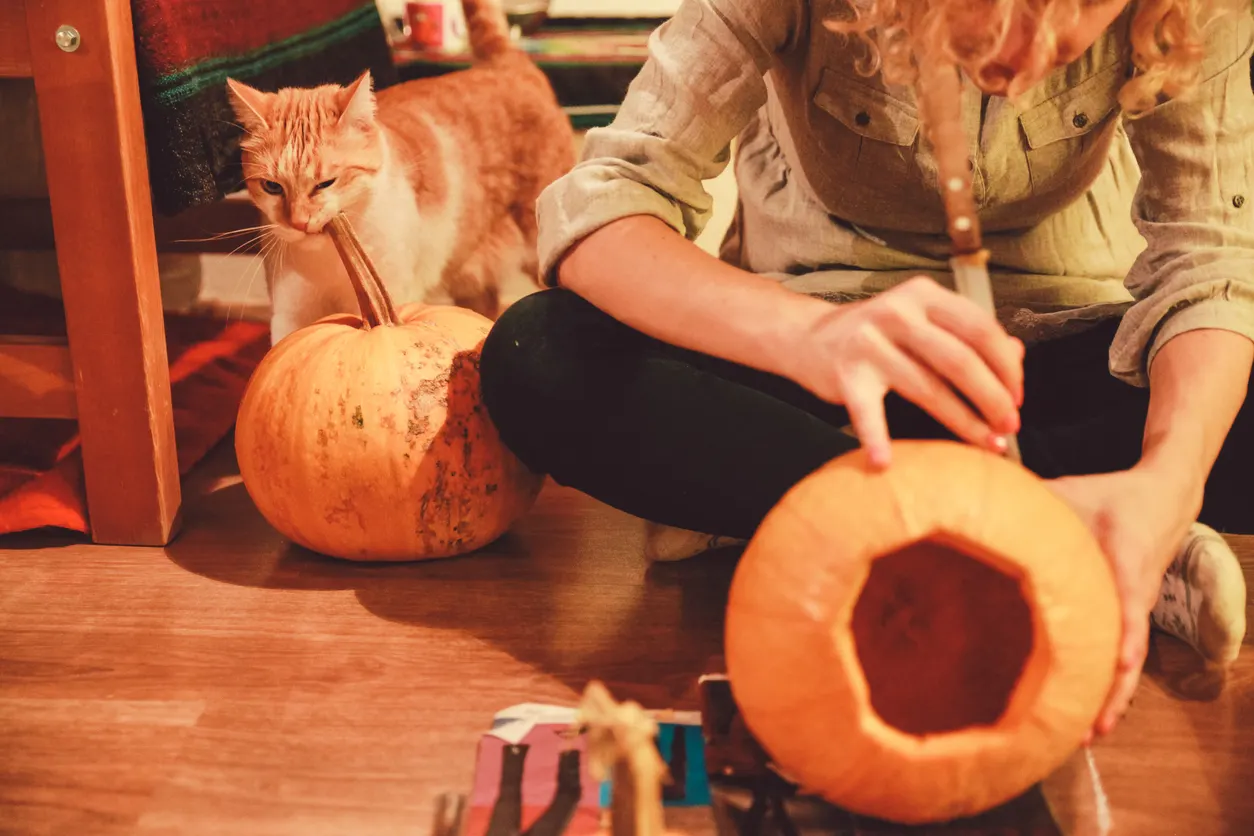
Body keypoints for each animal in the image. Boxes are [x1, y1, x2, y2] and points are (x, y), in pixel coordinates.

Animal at [229, 0, 574, 343]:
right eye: (272, 187)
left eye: (326, 183)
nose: (299, 223)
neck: (328, 261)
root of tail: (503, 63)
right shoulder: (291, 315)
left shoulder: (393, 292)